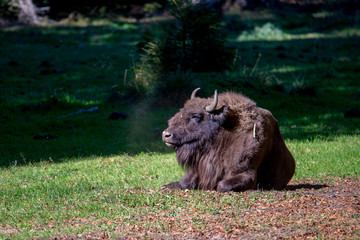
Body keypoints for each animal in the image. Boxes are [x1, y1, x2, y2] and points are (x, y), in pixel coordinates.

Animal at [162, 88, 294, 191]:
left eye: (196, 116)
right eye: (181, 111)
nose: (166, 134)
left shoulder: (246, 173)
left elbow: (222, 185)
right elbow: (183, 183)